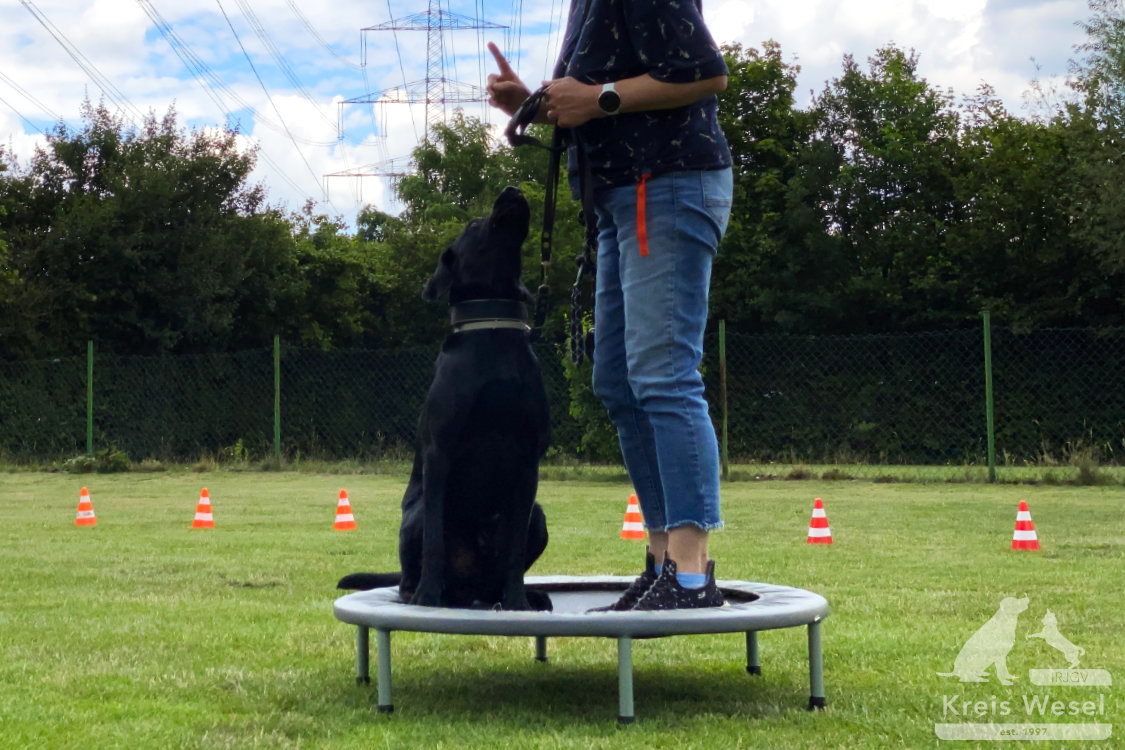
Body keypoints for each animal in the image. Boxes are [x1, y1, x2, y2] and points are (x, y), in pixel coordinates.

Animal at [339, 186, 555, 611]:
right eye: (473, 224)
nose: (513, 190)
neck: (492, 330)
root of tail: (470, 590)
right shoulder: (440, 451)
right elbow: (436, 542)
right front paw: (428, 596)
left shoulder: (528, 459)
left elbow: (513, 549)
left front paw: (518, 601)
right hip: (417, 514)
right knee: (417, 566)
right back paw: (425, 593)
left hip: (537, 516)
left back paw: (516, 597)